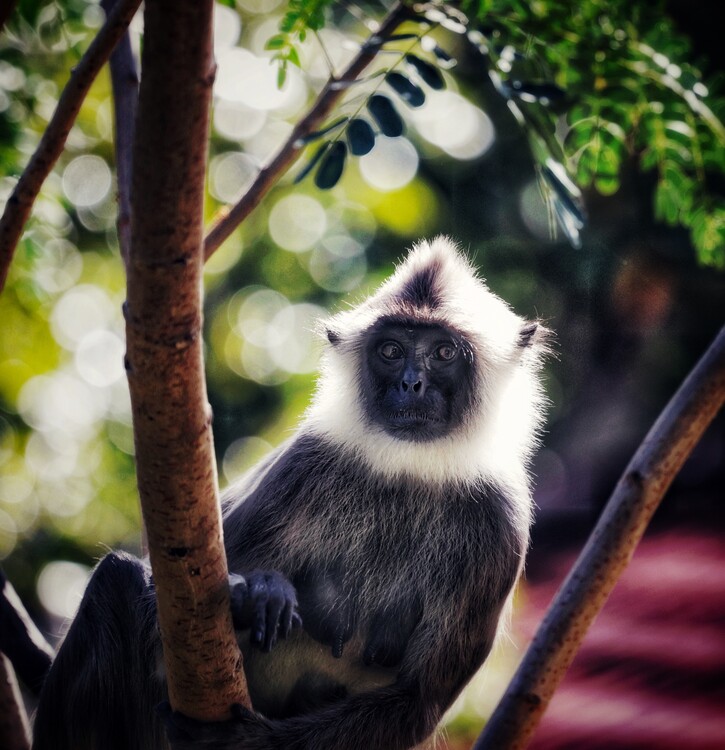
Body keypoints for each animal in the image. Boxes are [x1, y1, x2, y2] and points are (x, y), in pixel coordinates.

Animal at [31, 236, 549, 750]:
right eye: (390, 350)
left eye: (443, 353)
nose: (410, 383)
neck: (409, 474)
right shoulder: (303, 465)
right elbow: (168, 609)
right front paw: (256, 594)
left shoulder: (500, 525)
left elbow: (417, 701)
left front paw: (239, 741)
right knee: (116, 578)